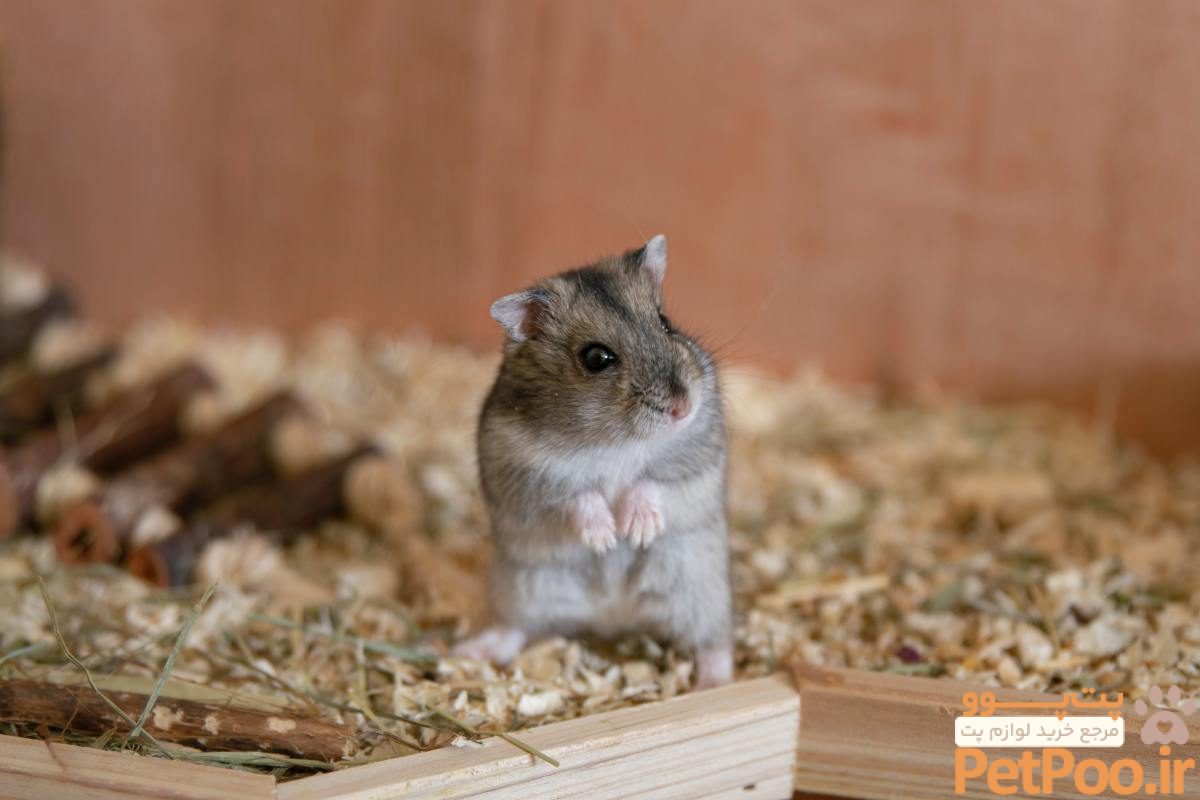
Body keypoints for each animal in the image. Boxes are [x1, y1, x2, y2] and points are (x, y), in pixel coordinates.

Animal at [454, 235, 733, 690]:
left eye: (665, 321)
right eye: (596, 358)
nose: (683, 407)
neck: (615, 439)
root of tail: (613, 617)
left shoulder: (697, 459)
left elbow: (651, 482)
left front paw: (636, 531)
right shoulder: (526, 476)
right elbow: (577, 495)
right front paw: (605, 538)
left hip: (701, 589)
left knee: (715, 642)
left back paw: (714, 684)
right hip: (521, 588)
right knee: (514, 628)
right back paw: (468, 651)